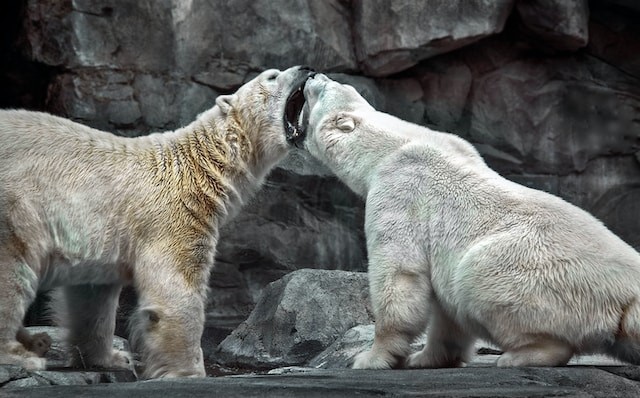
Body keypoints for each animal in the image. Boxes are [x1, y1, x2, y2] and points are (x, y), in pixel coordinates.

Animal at [0, 66, 316, 380]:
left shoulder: (102, 232)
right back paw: (20, 354)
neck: (198, 168)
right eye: (272, 76)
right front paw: (189, 372)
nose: (306, 69)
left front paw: (113, 358)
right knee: (13, 267)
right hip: (15, 205)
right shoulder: (174, 216)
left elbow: (93, 295)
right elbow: (177, 289)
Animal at [296, 74, 640, 370]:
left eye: (325, 89)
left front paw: (371, 357)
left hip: (541, 271)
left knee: (477, 275)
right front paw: (425, 358)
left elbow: (399, 271)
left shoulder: (399, 190)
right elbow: (445, 310)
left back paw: (520, 355)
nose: (312, 75)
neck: (394, 146)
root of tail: (628, 292)